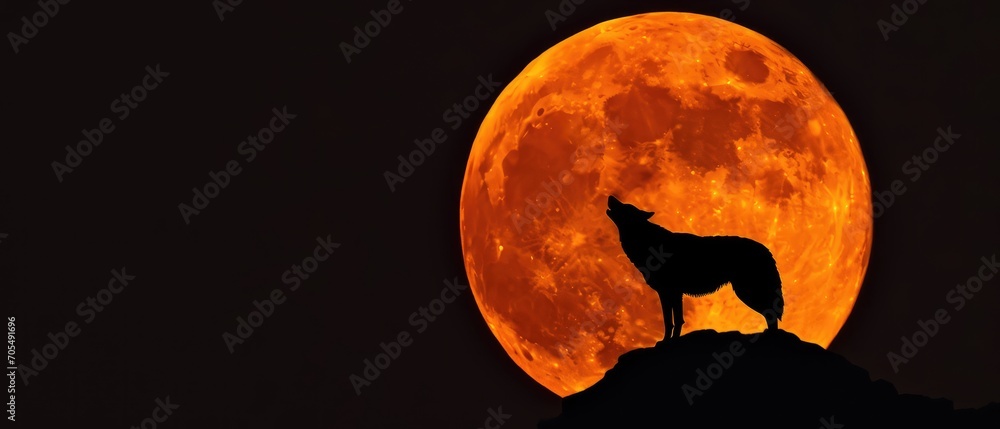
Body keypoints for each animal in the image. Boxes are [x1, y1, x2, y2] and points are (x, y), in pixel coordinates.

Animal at [606, 195, 784, 339]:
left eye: (625, 207)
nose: (610, 196)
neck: (648, 244)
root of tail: (766, 250)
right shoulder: (672, 293)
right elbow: (675, 321)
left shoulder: (670, 292)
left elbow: (670, 321)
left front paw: (666, 342)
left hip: (747, 292)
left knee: (771, 314)